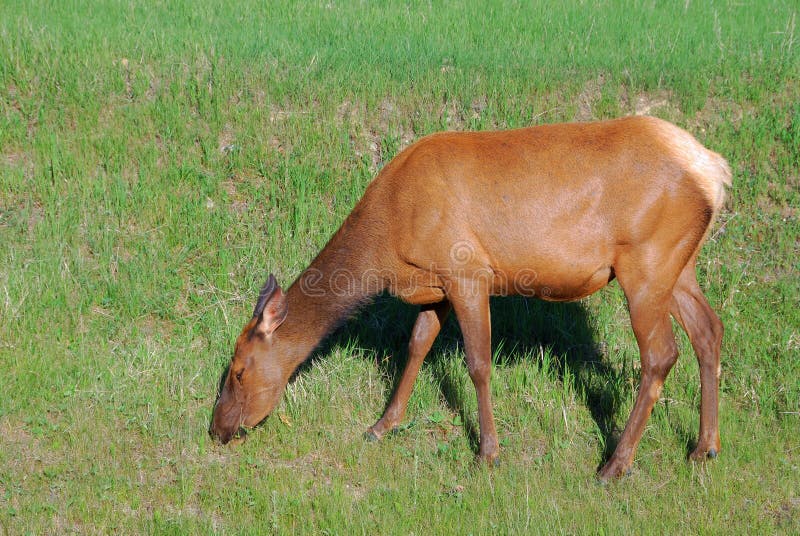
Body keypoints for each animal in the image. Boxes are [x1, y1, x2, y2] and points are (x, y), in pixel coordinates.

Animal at [208, 115, 732, 480]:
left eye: (237, 371)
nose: (217, 429)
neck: (387, 243)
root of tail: (714, 168)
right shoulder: (435, 286)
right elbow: (416, 347)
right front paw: (382, 425)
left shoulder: (467, 271)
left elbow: (478, 362)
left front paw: (488, 452)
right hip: (678, 265)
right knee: (709, 329)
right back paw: (704, 447)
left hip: (646, 260)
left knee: (661, 354)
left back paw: (614, 465)